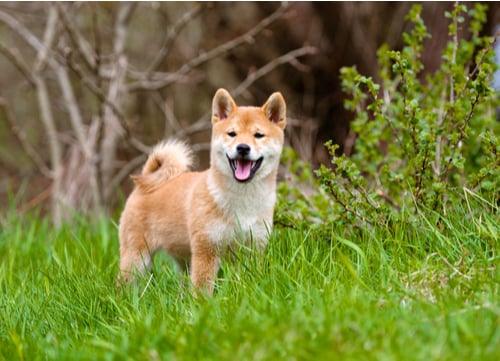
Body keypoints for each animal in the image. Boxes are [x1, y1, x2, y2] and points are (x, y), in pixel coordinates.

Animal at [117, 88, 288, 294]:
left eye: (258, 135)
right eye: (232, 134)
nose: (243, 148)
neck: (242, 202)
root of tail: (142, 186)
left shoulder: (253, 249)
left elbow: (245, 283)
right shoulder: (206, 249)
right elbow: (202, 289)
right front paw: (203, 303)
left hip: (183, 260)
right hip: (137, 258)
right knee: (125, 282)